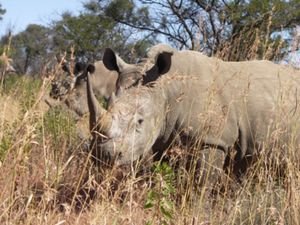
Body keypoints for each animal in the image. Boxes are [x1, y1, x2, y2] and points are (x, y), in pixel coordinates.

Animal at [88, 47, 300, 183]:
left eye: (140, 121)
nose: (104, 155)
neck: (166, 89)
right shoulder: (164, 139)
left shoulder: (212, 139)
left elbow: (201, 185)